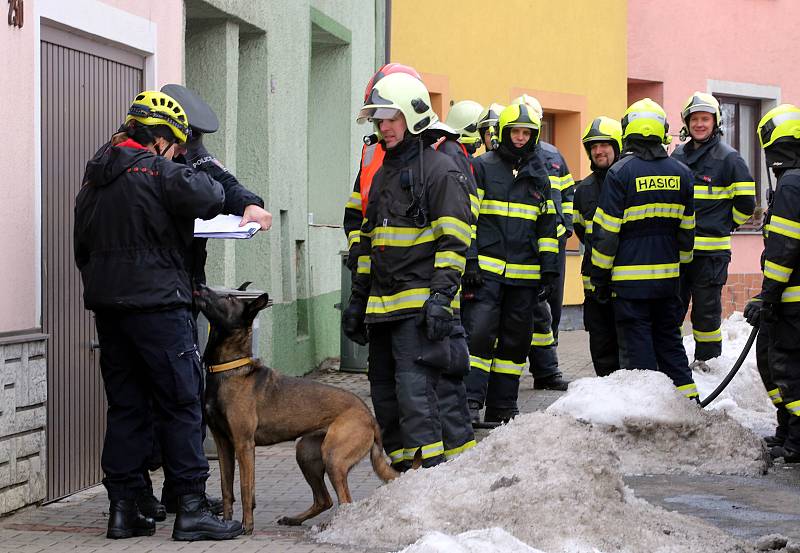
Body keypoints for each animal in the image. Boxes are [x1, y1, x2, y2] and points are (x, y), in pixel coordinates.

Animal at [195, 282, 400, 532]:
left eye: (230, 299)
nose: (200, 285)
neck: (229, 369)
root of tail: (369, 416)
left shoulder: (244, 445)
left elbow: (245, 489)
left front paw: (246, 525)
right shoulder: (223, 444)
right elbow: (227, 489)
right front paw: (226, 523)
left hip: (333, 457)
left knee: (345, 501)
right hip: (305, 452)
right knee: (324, 500)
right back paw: (296, 519)